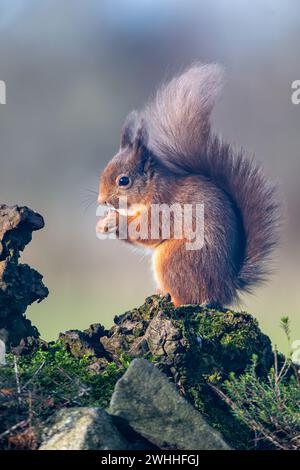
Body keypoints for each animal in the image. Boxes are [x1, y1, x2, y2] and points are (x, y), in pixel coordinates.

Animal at [97, 65, 280, 308]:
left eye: (123, 181)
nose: (101, 201)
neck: (153, 189)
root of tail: (225, 288)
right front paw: (103, 222)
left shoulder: (165, 209)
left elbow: (147, 230)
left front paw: (114, 221)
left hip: (175, 258)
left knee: (188, 296)